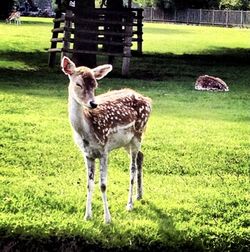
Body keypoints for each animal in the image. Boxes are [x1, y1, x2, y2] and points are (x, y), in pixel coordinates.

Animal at [62, 56, 152, 222]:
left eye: (95, 84)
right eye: (78, 84)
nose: (93, 103)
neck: (86, 132)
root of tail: (148, 100)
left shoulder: (104, 150)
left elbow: (103, 185)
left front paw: (107, 219)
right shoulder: (87, 154)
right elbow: (89, 184)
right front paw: (87, 216)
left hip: (138, 134)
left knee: (132, 168)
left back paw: (129, 204)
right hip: (126, 142)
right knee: (141, 156)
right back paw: (139, 195)